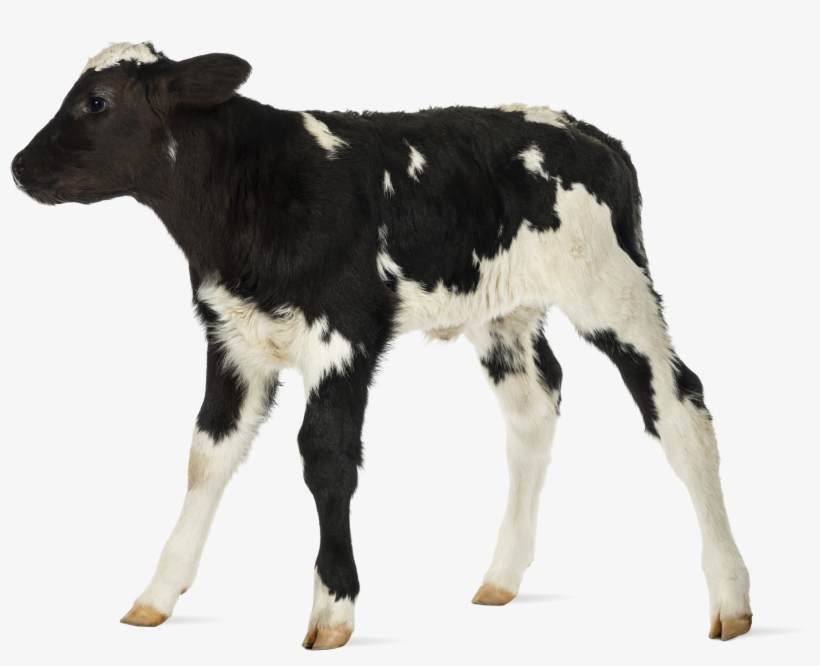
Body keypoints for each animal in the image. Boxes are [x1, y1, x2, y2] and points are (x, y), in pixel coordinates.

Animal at [11, 42, 752, 650]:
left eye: (97, 102)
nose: (18, 167)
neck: (249, 201)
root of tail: (587, 131)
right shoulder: (232, 337)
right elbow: (206, 454)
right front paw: (157, 595)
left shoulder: (344, 333)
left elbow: (325, 458)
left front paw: (332, 609)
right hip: (505, 314)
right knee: (534, 410)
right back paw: (502, 578)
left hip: (613, 290)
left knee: (682, 409)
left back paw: (731, 598)